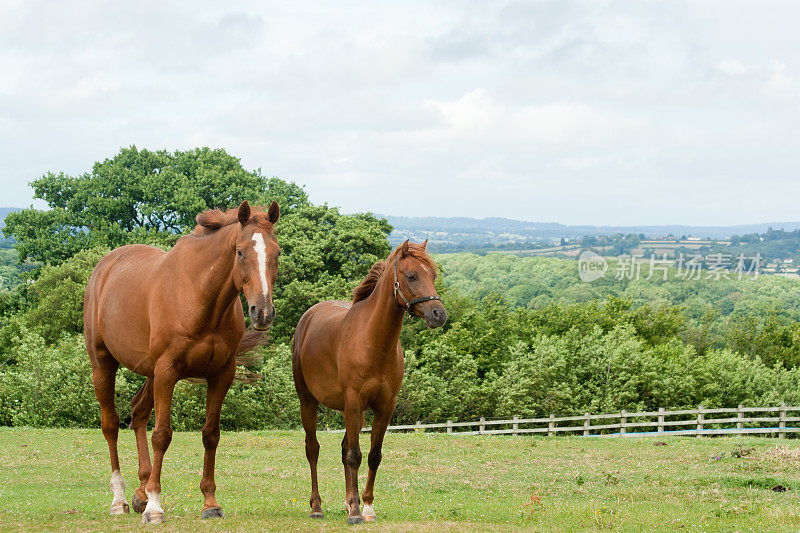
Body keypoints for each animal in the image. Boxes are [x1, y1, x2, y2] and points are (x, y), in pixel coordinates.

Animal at [84, 198, 282, 520]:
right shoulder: (168, 371)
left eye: (277, 252)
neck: (200, 296)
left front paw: (210, 503)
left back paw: (140, 491)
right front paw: (155, 506)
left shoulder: (221, 375)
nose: (262, 312)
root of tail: (105, 267)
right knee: (111, 425)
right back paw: (120, 499)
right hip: (104, 364)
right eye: (240, 252)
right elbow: (162, 435)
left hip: (149, 372)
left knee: (138, 412)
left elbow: (211, 434)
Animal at [292, 240, 446, 524]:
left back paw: (346, 501)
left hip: (353, 412)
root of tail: (308, 317)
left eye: (433, 276)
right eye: (411, 276)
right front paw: (355, 512)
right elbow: (354, 455)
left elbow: (373, 455)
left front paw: (366, 506)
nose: (438, 314)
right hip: (308, 401)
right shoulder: (354, 401)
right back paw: (317, 507)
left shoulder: (384, 407)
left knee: (344, 448)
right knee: (313, 449)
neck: (374, 342)